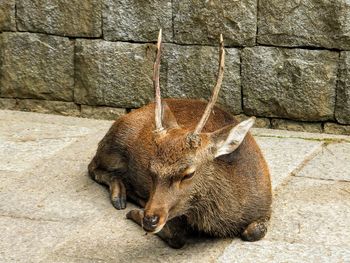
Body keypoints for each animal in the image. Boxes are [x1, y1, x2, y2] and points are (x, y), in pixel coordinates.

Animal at [87, 29, 270, 250]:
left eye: (188, 173)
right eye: (151, 170)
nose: (150, 220)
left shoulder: (266, 208)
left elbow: (253, 232)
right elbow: (178, 237)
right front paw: (135, 212)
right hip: (112, 145)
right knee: (92, 166)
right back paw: (121, 195)